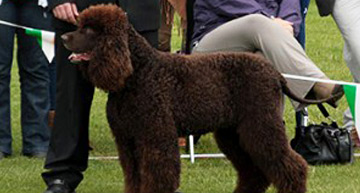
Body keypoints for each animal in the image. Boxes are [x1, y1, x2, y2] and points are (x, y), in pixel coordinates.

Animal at [57, 4, 322, 193]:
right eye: (79, 25)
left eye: (89, 30)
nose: (63, 38)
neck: (137, 73)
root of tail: (275, 73)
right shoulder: (127, 142)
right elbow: (134, 178)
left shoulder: (155, 138)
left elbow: (158, 177)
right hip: (234, 133)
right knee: (254, 173)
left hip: (261, 124)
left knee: (293, 167)